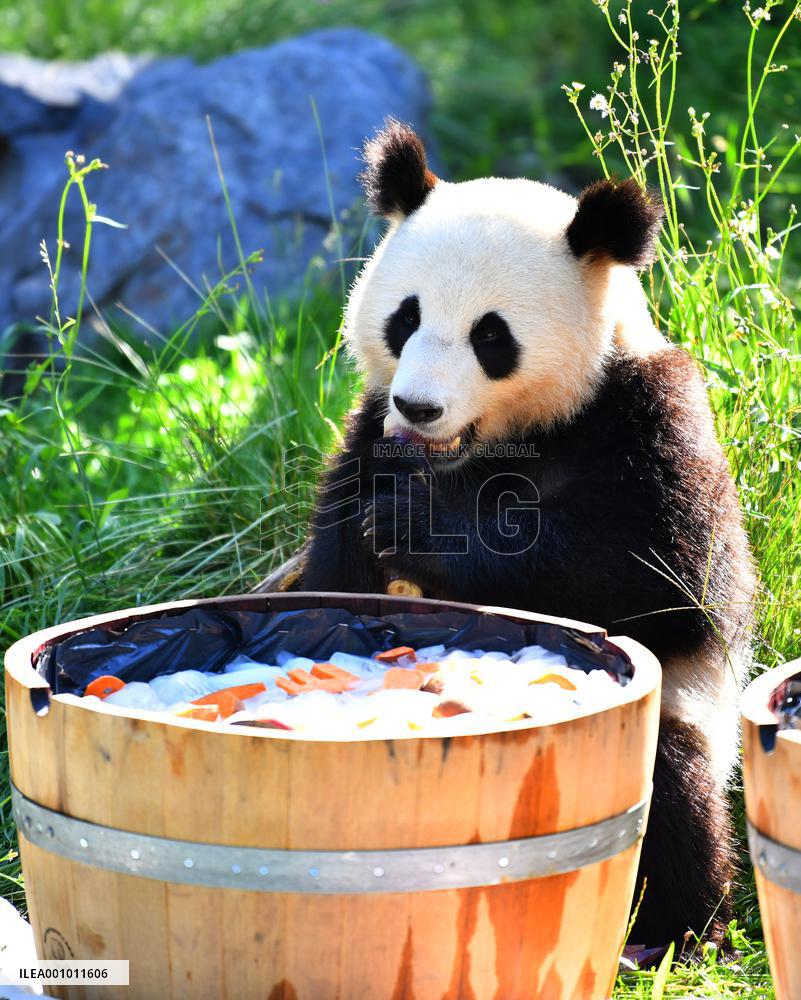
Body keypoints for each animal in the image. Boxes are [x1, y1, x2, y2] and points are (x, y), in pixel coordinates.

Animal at [301, 119, 756, 946]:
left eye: (490, 335)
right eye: (405, 317)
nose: (419, 408)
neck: (492, 446)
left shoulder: (646, 418)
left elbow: (660, 581)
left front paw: (417, 526)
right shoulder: (366, 434)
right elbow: (334, 571)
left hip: (686, 719)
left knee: (673, 783)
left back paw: (674, 930)